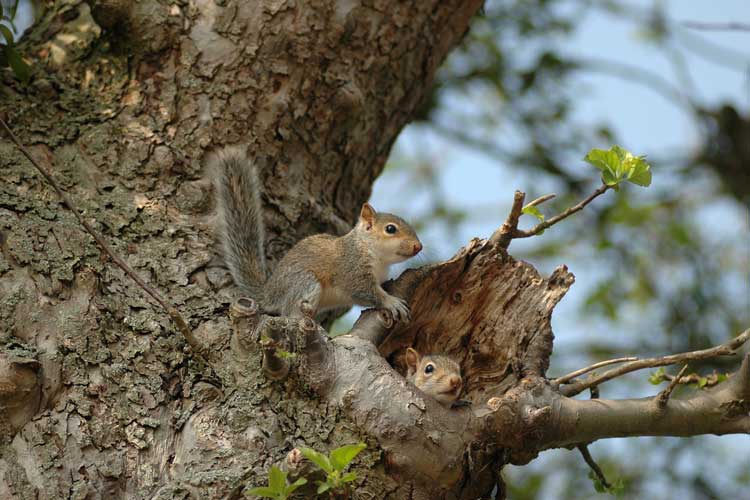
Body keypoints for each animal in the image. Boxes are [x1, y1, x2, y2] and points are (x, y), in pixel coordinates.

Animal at [212, 147, 424, 320]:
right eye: (390, 229)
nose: (418, 246)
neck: (373, 253)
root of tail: (269, 292)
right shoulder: (351, 269)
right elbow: (363, 291)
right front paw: (391, 302)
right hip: (305, 282)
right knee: (289, 312)